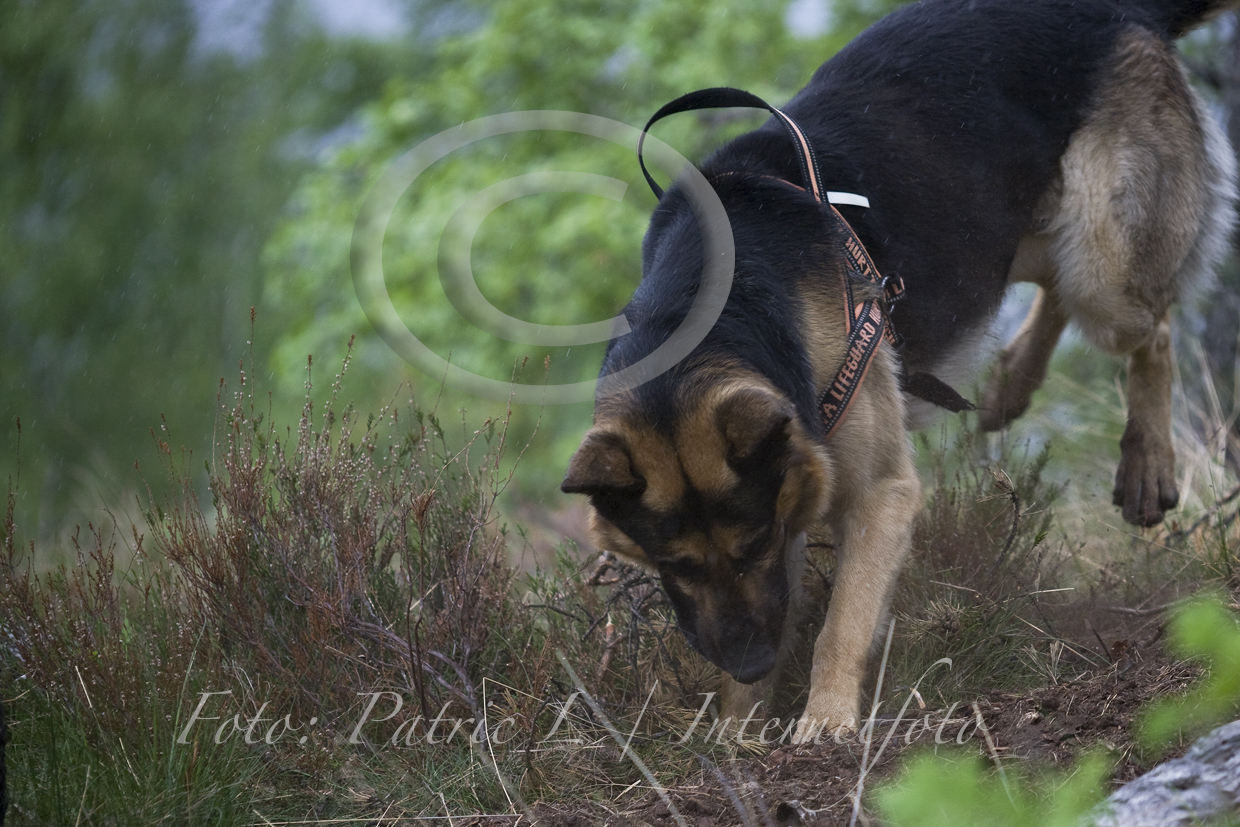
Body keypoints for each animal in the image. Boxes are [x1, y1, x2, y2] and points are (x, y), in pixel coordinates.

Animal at [562, 0, 1238, 739]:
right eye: (671, 564)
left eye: (754, 543)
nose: (750, 661)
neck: (714, 302)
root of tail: (1122, 9)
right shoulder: (795, 488)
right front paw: (739, 732)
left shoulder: (876, 495)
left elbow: (841, 623)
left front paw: (824, 724)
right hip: (997, 239)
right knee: (1053, 286)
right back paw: (1009, 384)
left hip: (1101, 268)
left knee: (1154, 328)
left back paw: (1147, 460)